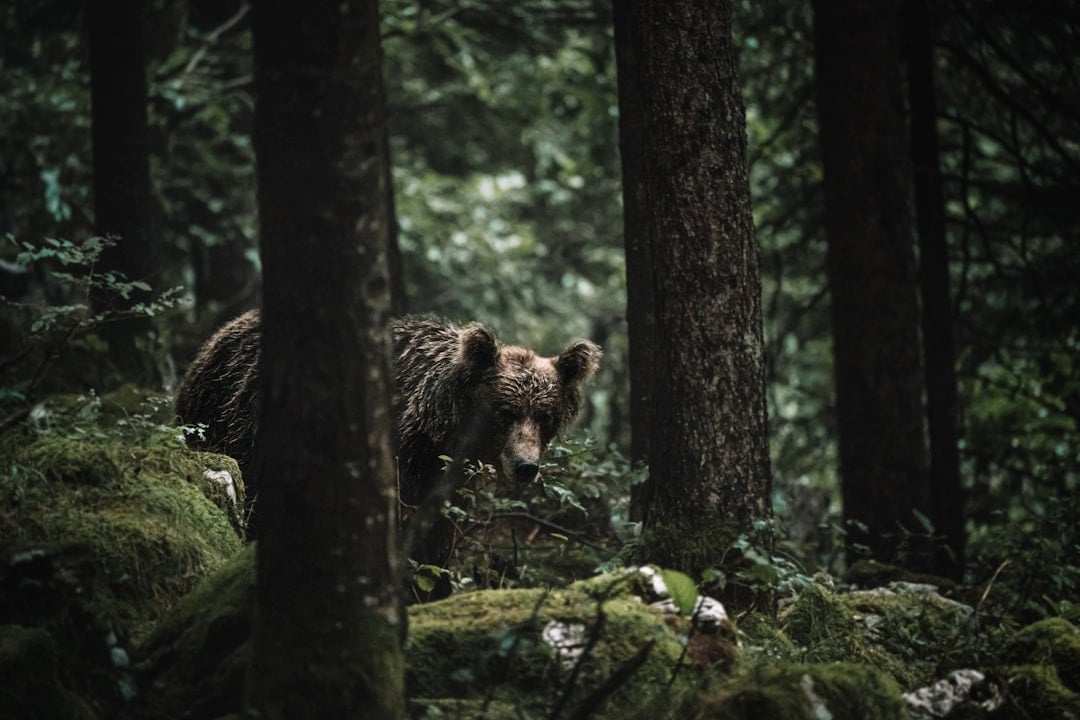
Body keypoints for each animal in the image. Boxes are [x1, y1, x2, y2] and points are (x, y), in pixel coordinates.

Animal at [175, 309, 601, 596]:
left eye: (545, 415)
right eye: (506, 410)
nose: (526, 466)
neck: (434, 427)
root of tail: (218, 335)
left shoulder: (441, 480)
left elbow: (436, 542)